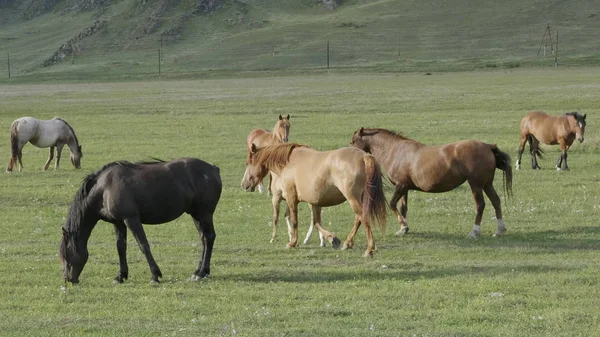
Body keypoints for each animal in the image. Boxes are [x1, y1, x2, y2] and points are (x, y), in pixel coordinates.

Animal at [59, 158, 223, 284]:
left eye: (66, 254)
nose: (68, 279)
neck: (104, 188)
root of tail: (213, 169)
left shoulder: (131, 219)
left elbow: (143, 245)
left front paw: (155, 275)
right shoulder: (118, 222)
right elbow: (120, 247)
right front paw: (121, 276)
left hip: (204, 214)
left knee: (209, 238)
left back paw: (201, 273)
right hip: (196, 215)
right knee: (203, 239)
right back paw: (200, 271)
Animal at [241, 142, 386, 258]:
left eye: (248, 163)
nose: (244, 184)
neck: (289, 163)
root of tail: (364, 157)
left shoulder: (291, 198)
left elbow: (294, 221)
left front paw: (293, 242)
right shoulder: (315, 203)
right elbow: (316, 223)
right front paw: (332, 239)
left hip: (352, 198)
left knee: (363, 217)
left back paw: (369, 250)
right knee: (358, 219)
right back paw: (347, 243)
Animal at [350, 126, 512, 239]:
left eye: (353, 141)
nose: (350, 154)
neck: (395, 151)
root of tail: (487, 146)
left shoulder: (400, 186)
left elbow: (392, 204)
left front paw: (403, 225)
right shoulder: (405, 188)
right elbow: (403, 207)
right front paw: (403, 229)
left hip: (476, 185)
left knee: (480, 206)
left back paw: (474, 232)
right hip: (487, 184)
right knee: (496, 201)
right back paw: (499, 230)